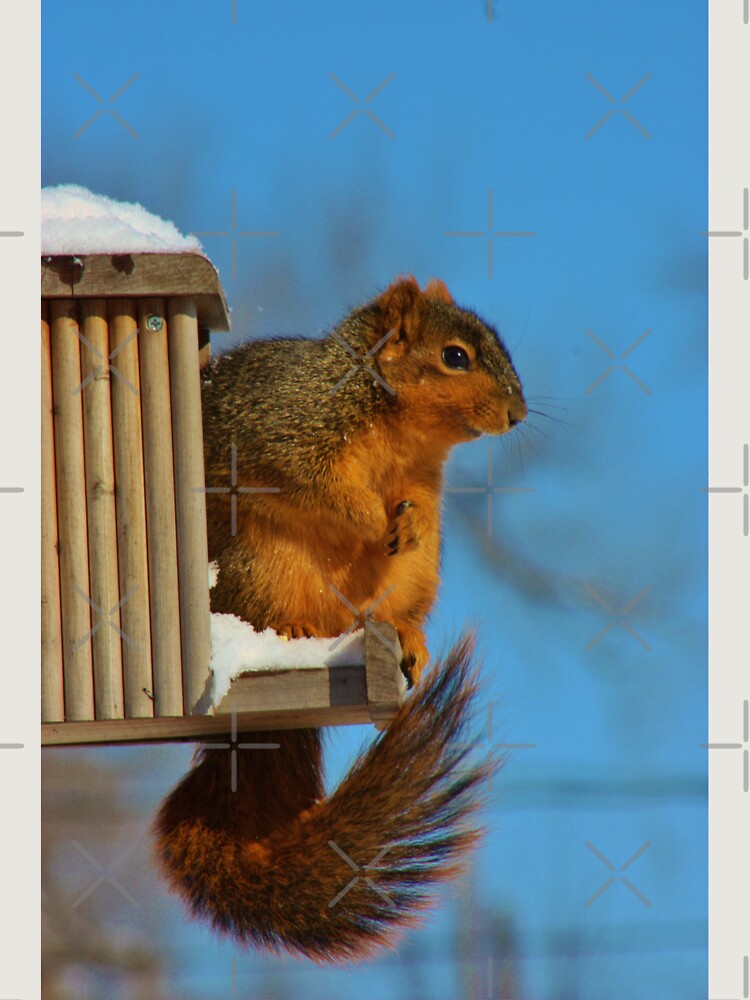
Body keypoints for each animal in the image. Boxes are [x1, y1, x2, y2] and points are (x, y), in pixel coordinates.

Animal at [154, 276, 527, 962]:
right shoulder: (288, 428)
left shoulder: (425, 484)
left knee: (391, 606)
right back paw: (293, 632)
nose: (517, 413)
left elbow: (419, 509)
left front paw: (406, 522)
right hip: (259, 561)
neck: (399, 430)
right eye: (455, 356)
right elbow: (321, 485)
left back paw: (406, 636)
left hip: (415, 575)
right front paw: (371, 516)